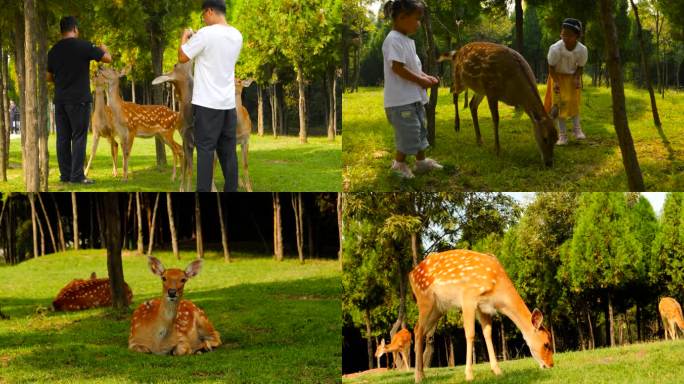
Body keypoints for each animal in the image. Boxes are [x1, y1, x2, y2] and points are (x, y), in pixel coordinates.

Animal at [408, 250, 552, 382]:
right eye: (546, 344)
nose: (551, 364)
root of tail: (411, 274)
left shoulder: (484, 308)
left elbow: (487, 333)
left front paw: (497, 371)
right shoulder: (468, 297)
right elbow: (470, 333)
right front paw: (469, 375)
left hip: (438, 308)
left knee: (418, 329)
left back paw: (422, 375)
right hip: (425, 299)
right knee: (418, 330)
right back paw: (418, 377)